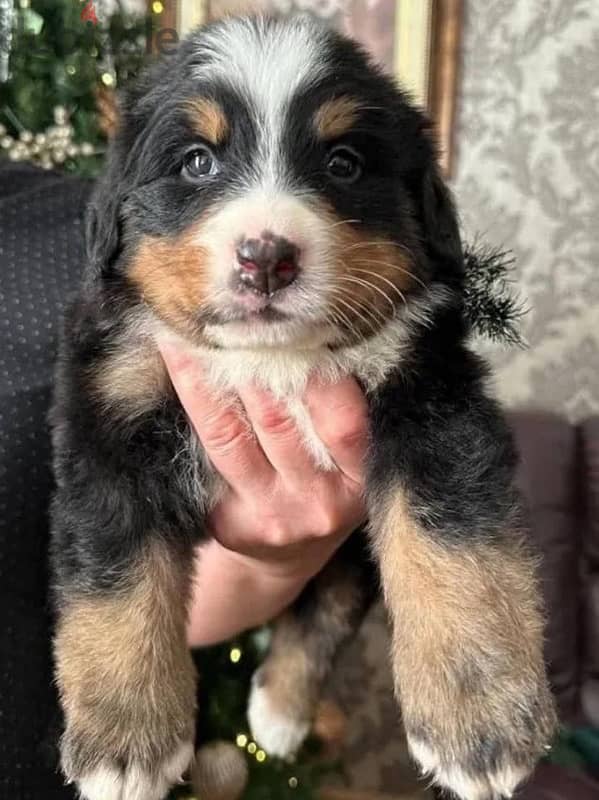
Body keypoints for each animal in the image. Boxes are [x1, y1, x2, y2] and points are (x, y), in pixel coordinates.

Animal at [50, 10, 556, 800]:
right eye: (197, 162)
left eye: (343, 163)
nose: (266, 257)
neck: (275, 362)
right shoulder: (109, 419)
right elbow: (116, 586)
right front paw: (124, 744)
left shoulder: (431, 396)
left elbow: (456, 551)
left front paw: (479, 720)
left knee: (328, 605)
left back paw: (280, 714)